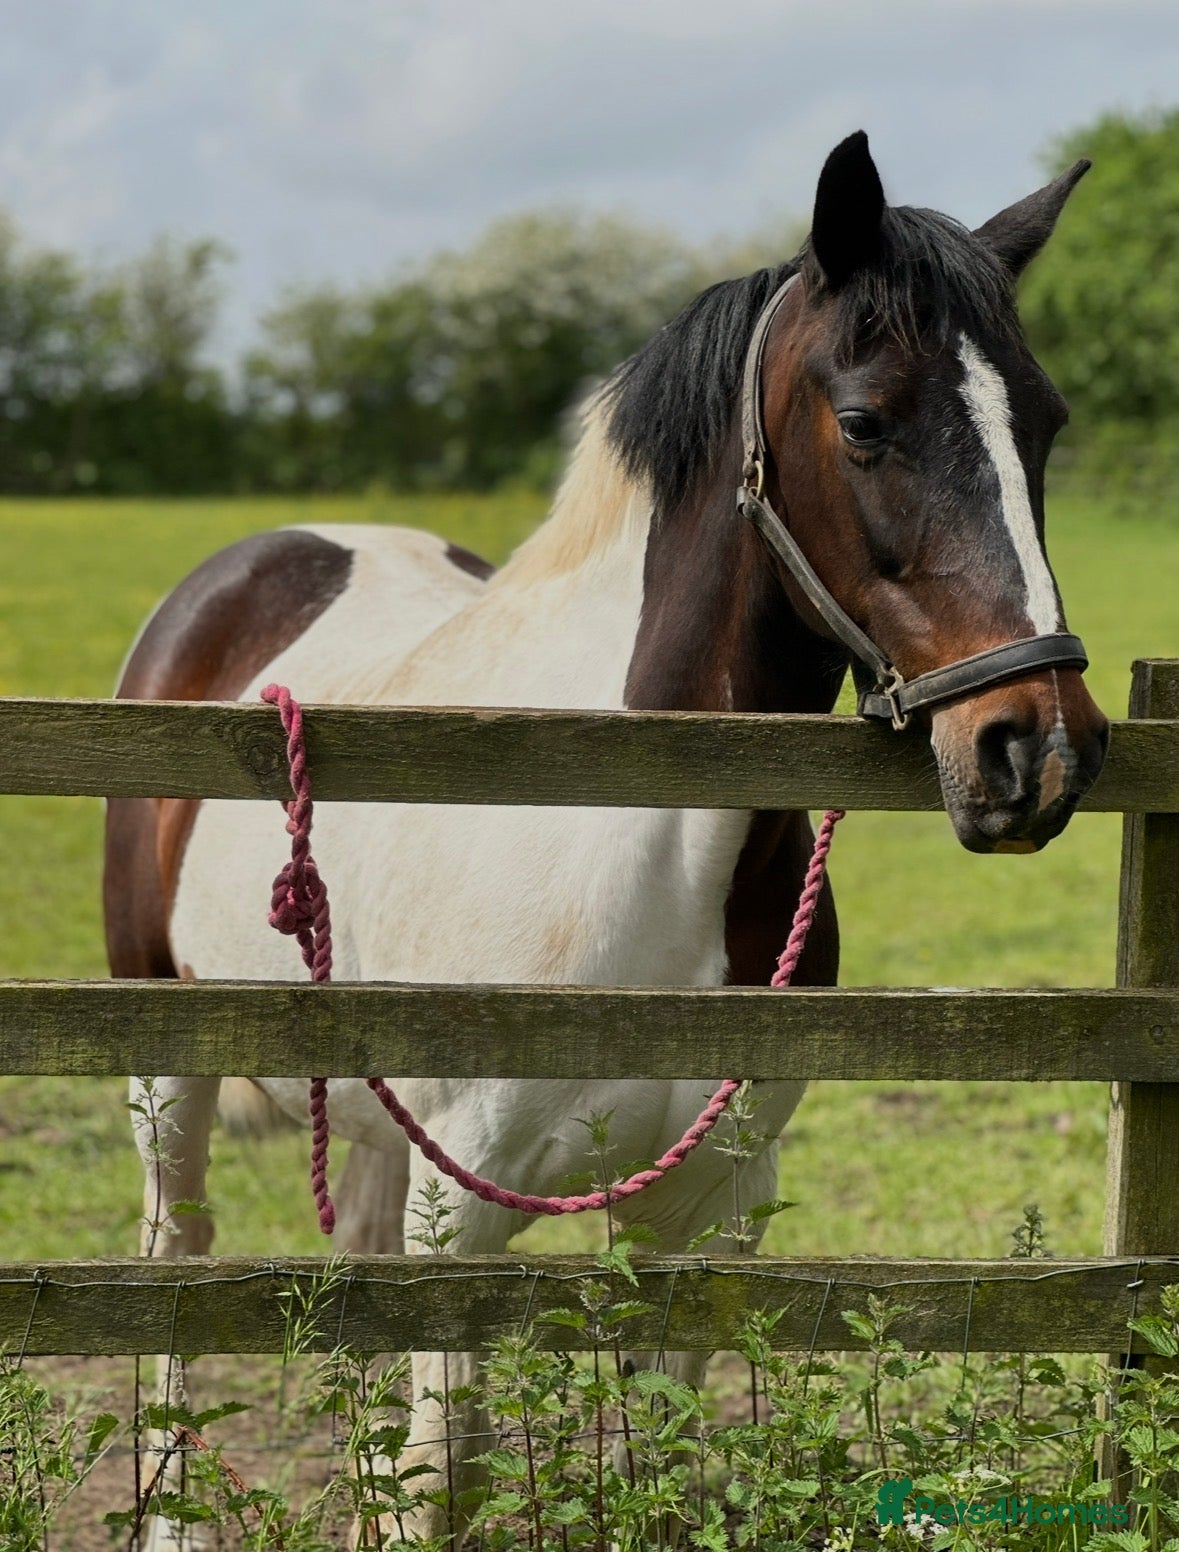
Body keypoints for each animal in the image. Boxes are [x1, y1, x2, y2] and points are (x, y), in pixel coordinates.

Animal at [104, 131, 1108, 1543]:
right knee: (174, 1267)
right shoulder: (461, 1215)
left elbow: (657, 1466)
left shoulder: (702, 1209)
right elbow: (443, 1483)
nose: (1040, 748)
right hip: (167, 1069)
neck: (639, 838)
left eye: (1047, 422)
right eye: (865, 421)